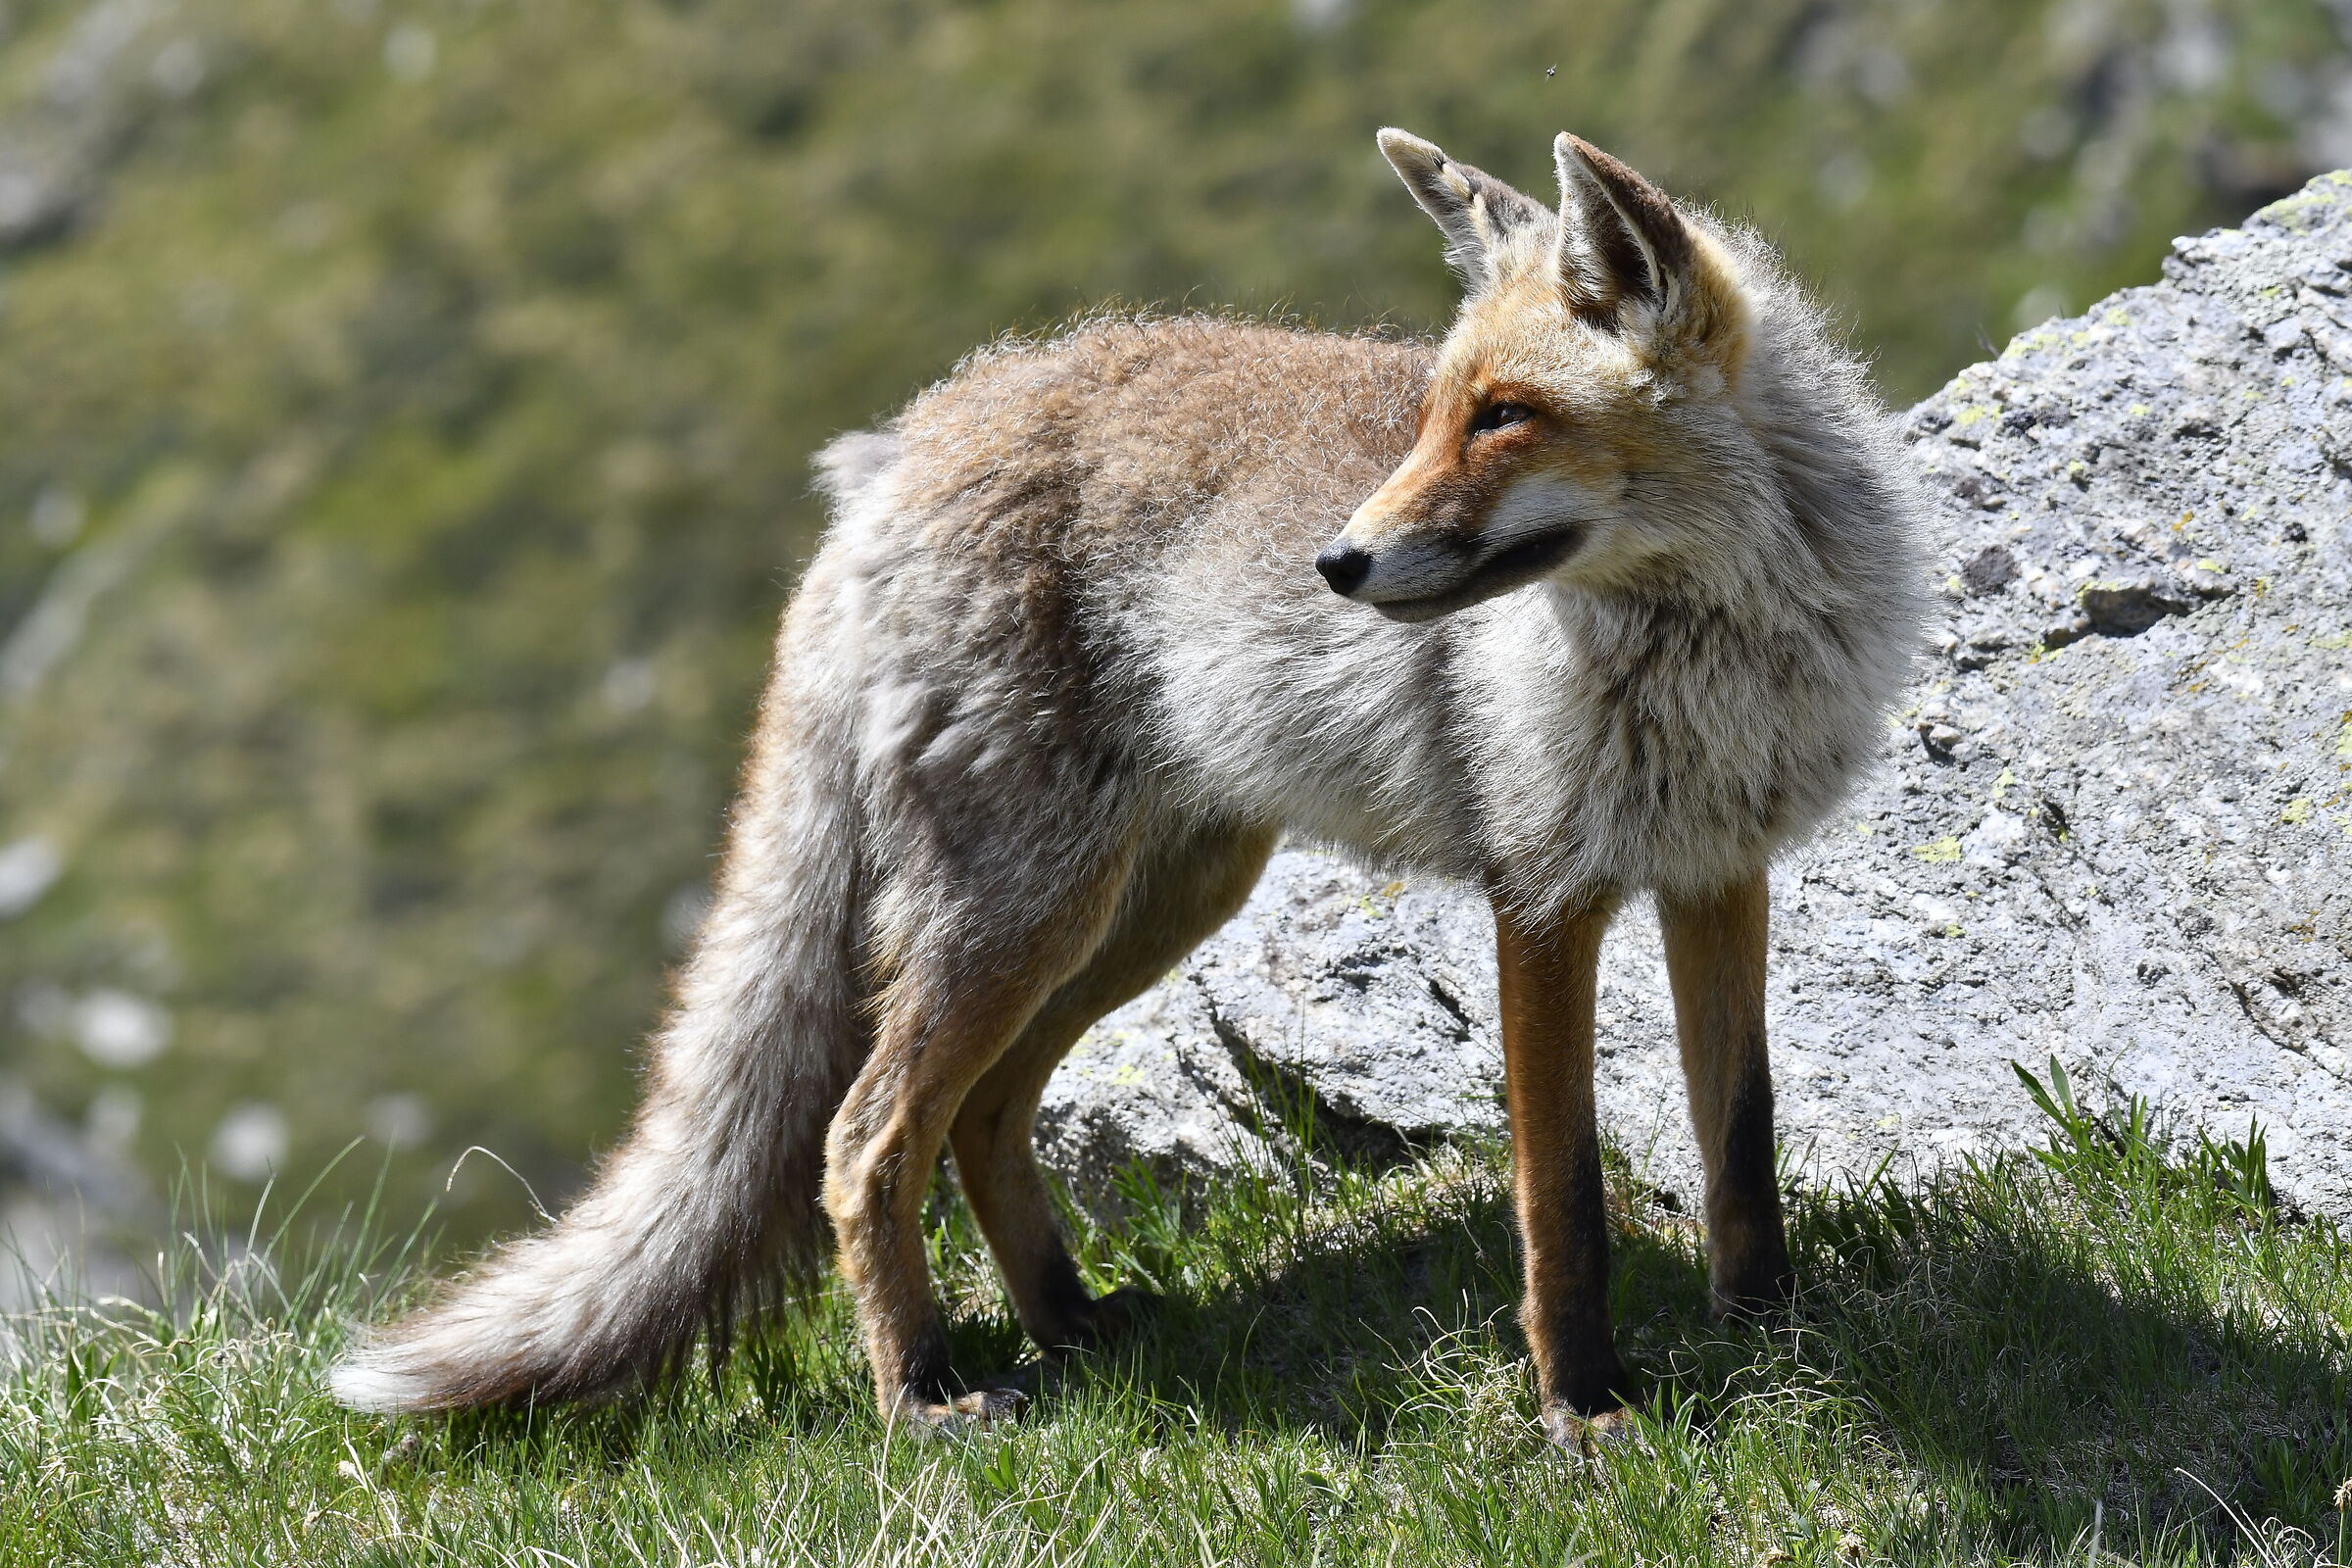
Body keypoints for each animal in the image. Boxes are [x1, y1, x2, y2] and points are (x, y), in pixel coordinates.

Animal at [330, 129, 1925, 1448]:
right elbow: (1563, 1198)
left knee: (982, 1119)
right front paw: (1583, 1410)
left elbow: (1742, 1139)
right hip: (1022, 914)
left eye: (1505, 416)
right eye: (1431, 413)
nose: (1338, 564)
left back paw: (1078, 1327)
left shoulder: (1719, 871)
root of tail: (895, 450)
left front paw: (1772, 1334)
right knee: (864, 1141)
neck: (1704, 656)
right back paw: (923, 1394)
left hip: (1141, 909)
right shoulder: (1540, 896)